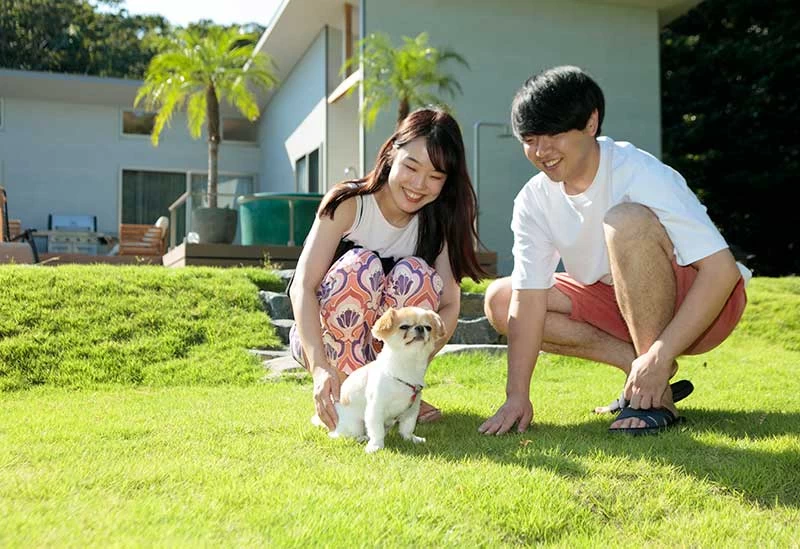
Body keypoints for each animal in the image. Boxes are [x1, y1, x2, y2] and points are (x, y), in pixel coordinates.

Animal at [314, 306, 446, 453]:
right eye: (404, 326)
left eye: (428, 328)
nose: (420, 328)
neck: (407, 366)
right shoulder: (375, 408)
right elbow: (377, 430)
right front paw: (376, 446)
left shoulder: (412, 409)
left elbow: (407, 427)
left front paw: (410, 438)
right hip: (354, 425)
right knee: (340, 435)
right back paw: (361, 438)